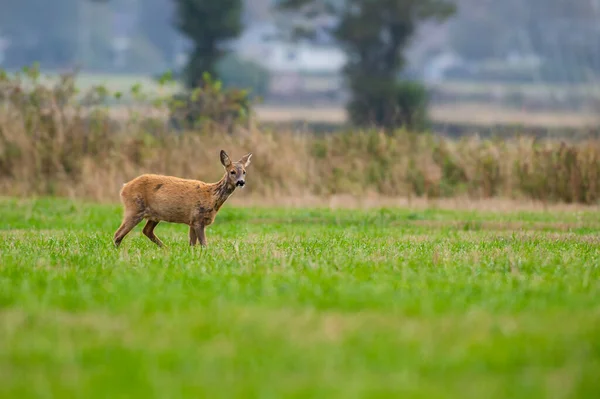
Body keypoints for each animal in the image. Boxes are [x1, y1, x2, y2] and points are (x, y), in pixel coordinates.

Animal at [112, 150, 251, 248]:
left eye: (244, 171)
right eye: (232, 171)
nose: (241, 182)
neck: (212, 196)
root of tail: (124, 188)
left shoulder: (192, 221)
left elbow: (192, 245)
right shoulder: (197, 218)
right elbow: (204, 244)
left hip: (154, 215)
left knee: (146, 231)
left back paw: (166, 248)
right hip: (134, 208)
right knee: (118, 234)